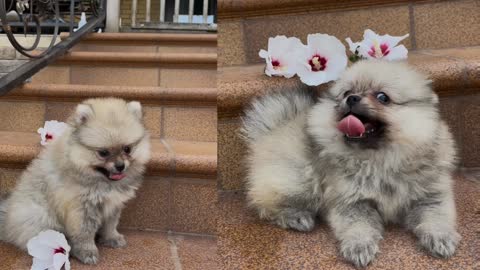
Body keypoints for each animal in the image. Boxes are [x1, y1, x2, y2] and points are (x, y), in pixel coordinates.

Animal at [0, 97, 151, 264]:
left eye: (127, 149)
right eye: (103, 153)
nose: (120, 166)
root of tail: (6, 221)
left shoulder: (113, 204)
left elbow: (110, 224)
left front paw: (112, 238)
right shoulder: (81, 208)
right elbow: (84, 233)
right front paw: (87, 252)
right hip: (39, 214)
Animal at [242, 61, 460, 268]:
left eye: (382, 97)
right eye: (347, 93)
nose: (352, 98)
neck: (380, 160)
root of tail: (272, 129)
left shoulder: (430, 196)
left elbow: (436, 217)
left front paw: (441, 238)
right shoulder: (351, 200)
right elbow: (358, 226)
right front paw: (359, 247)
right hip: (300, 180)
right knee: (267, 206)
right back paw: (296, 216)